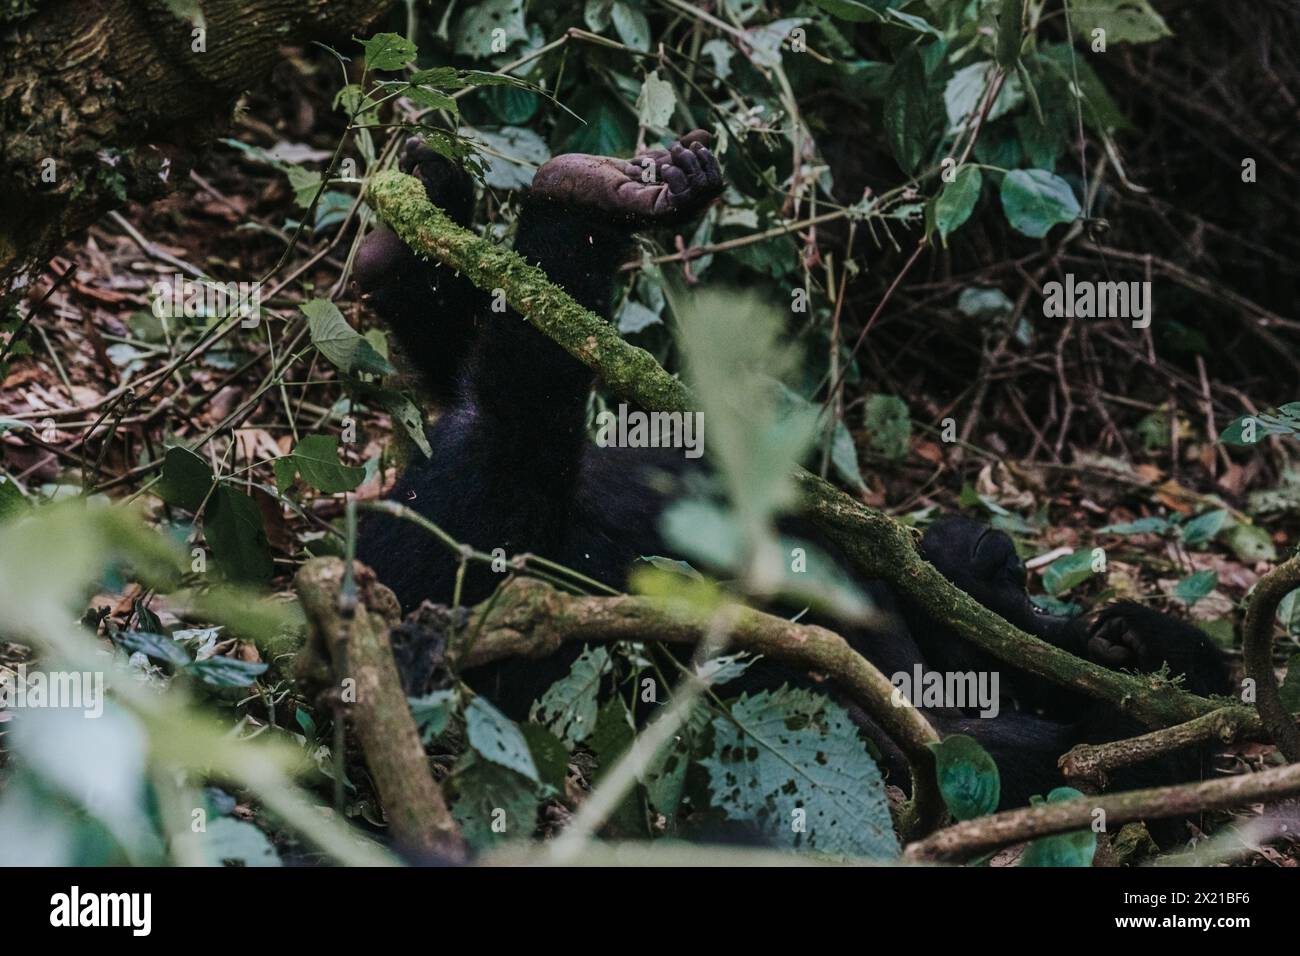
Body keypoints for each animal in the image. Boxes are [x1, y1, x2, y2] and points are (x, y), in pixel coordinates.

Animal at [348, 128, 1227, 822]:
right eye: (1015, 578)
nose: (1017, 577)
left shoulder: (978, 749)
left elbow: (1078, 752)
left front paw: (1132, 649)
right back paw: (523, 212)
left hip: (445, 559)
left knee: (510, 450)